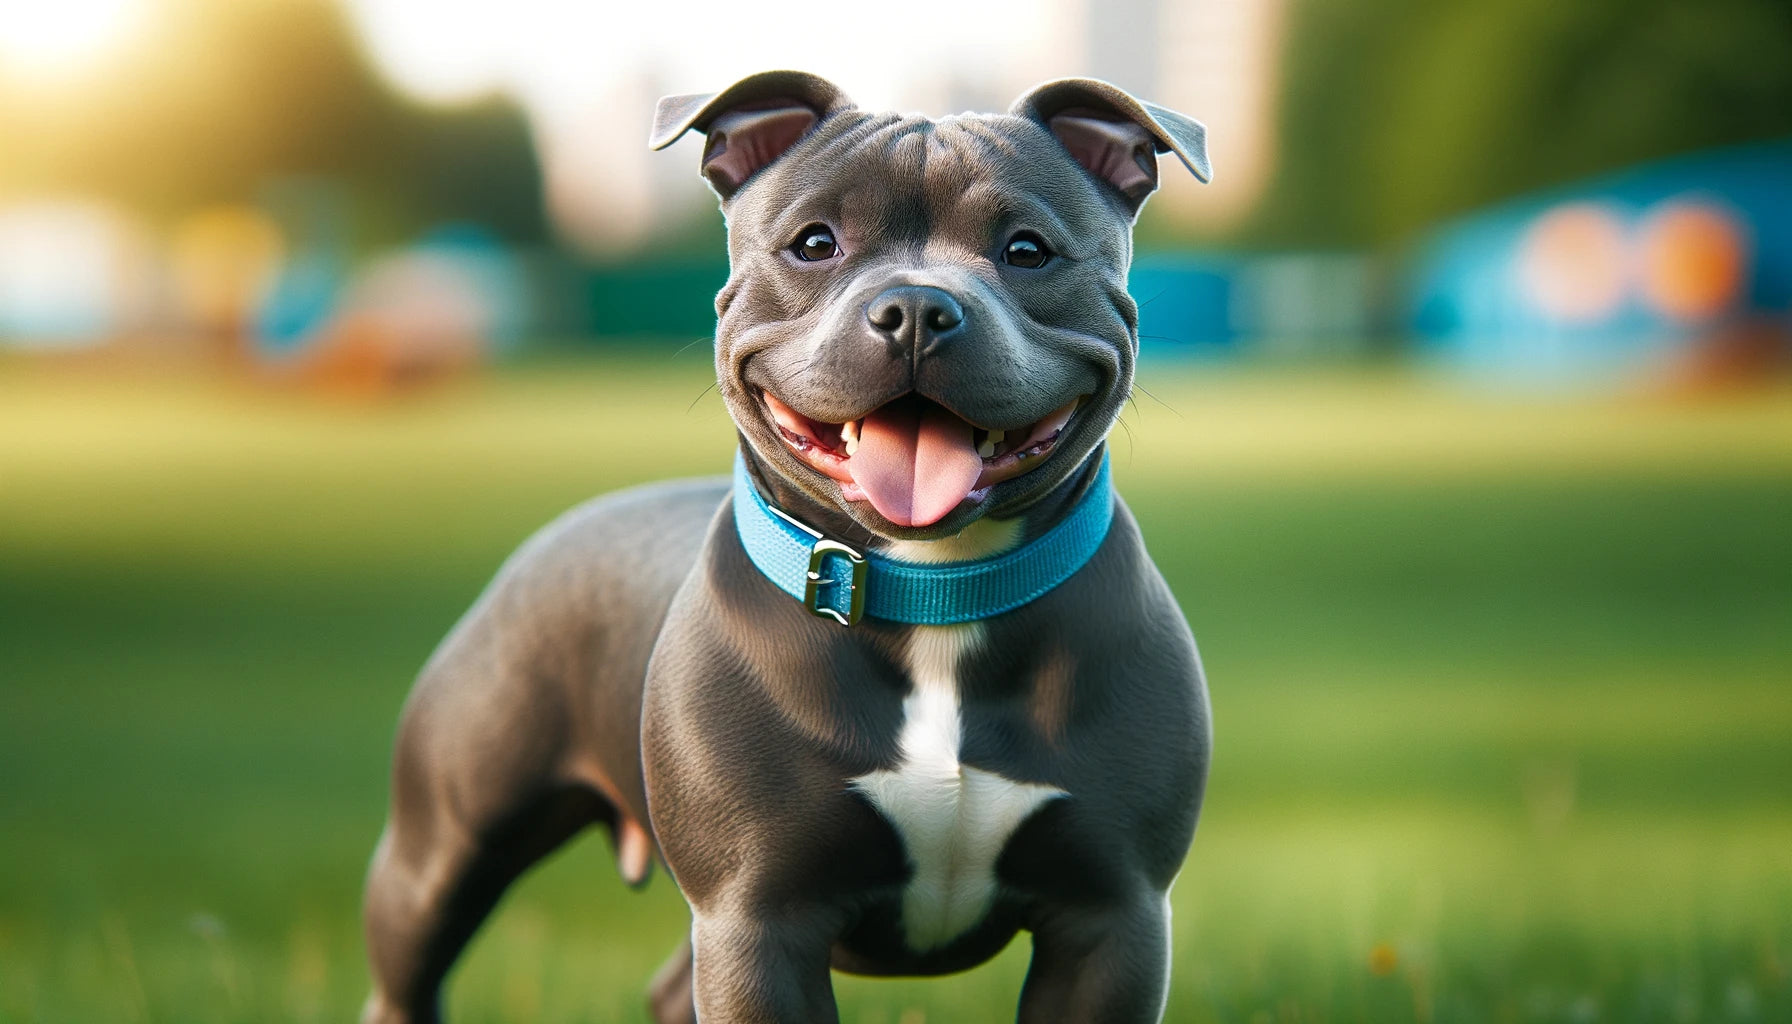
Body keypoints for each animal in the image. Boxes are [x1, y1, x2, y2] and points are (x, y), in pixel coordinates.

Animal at [358, 68, 1211, 1018]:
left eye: (1028, 251)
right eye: (814, 243)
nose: (917, 307)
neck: (934, 585)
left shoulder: (1109, 920)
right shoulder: (757, 919)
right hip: (442, 850)